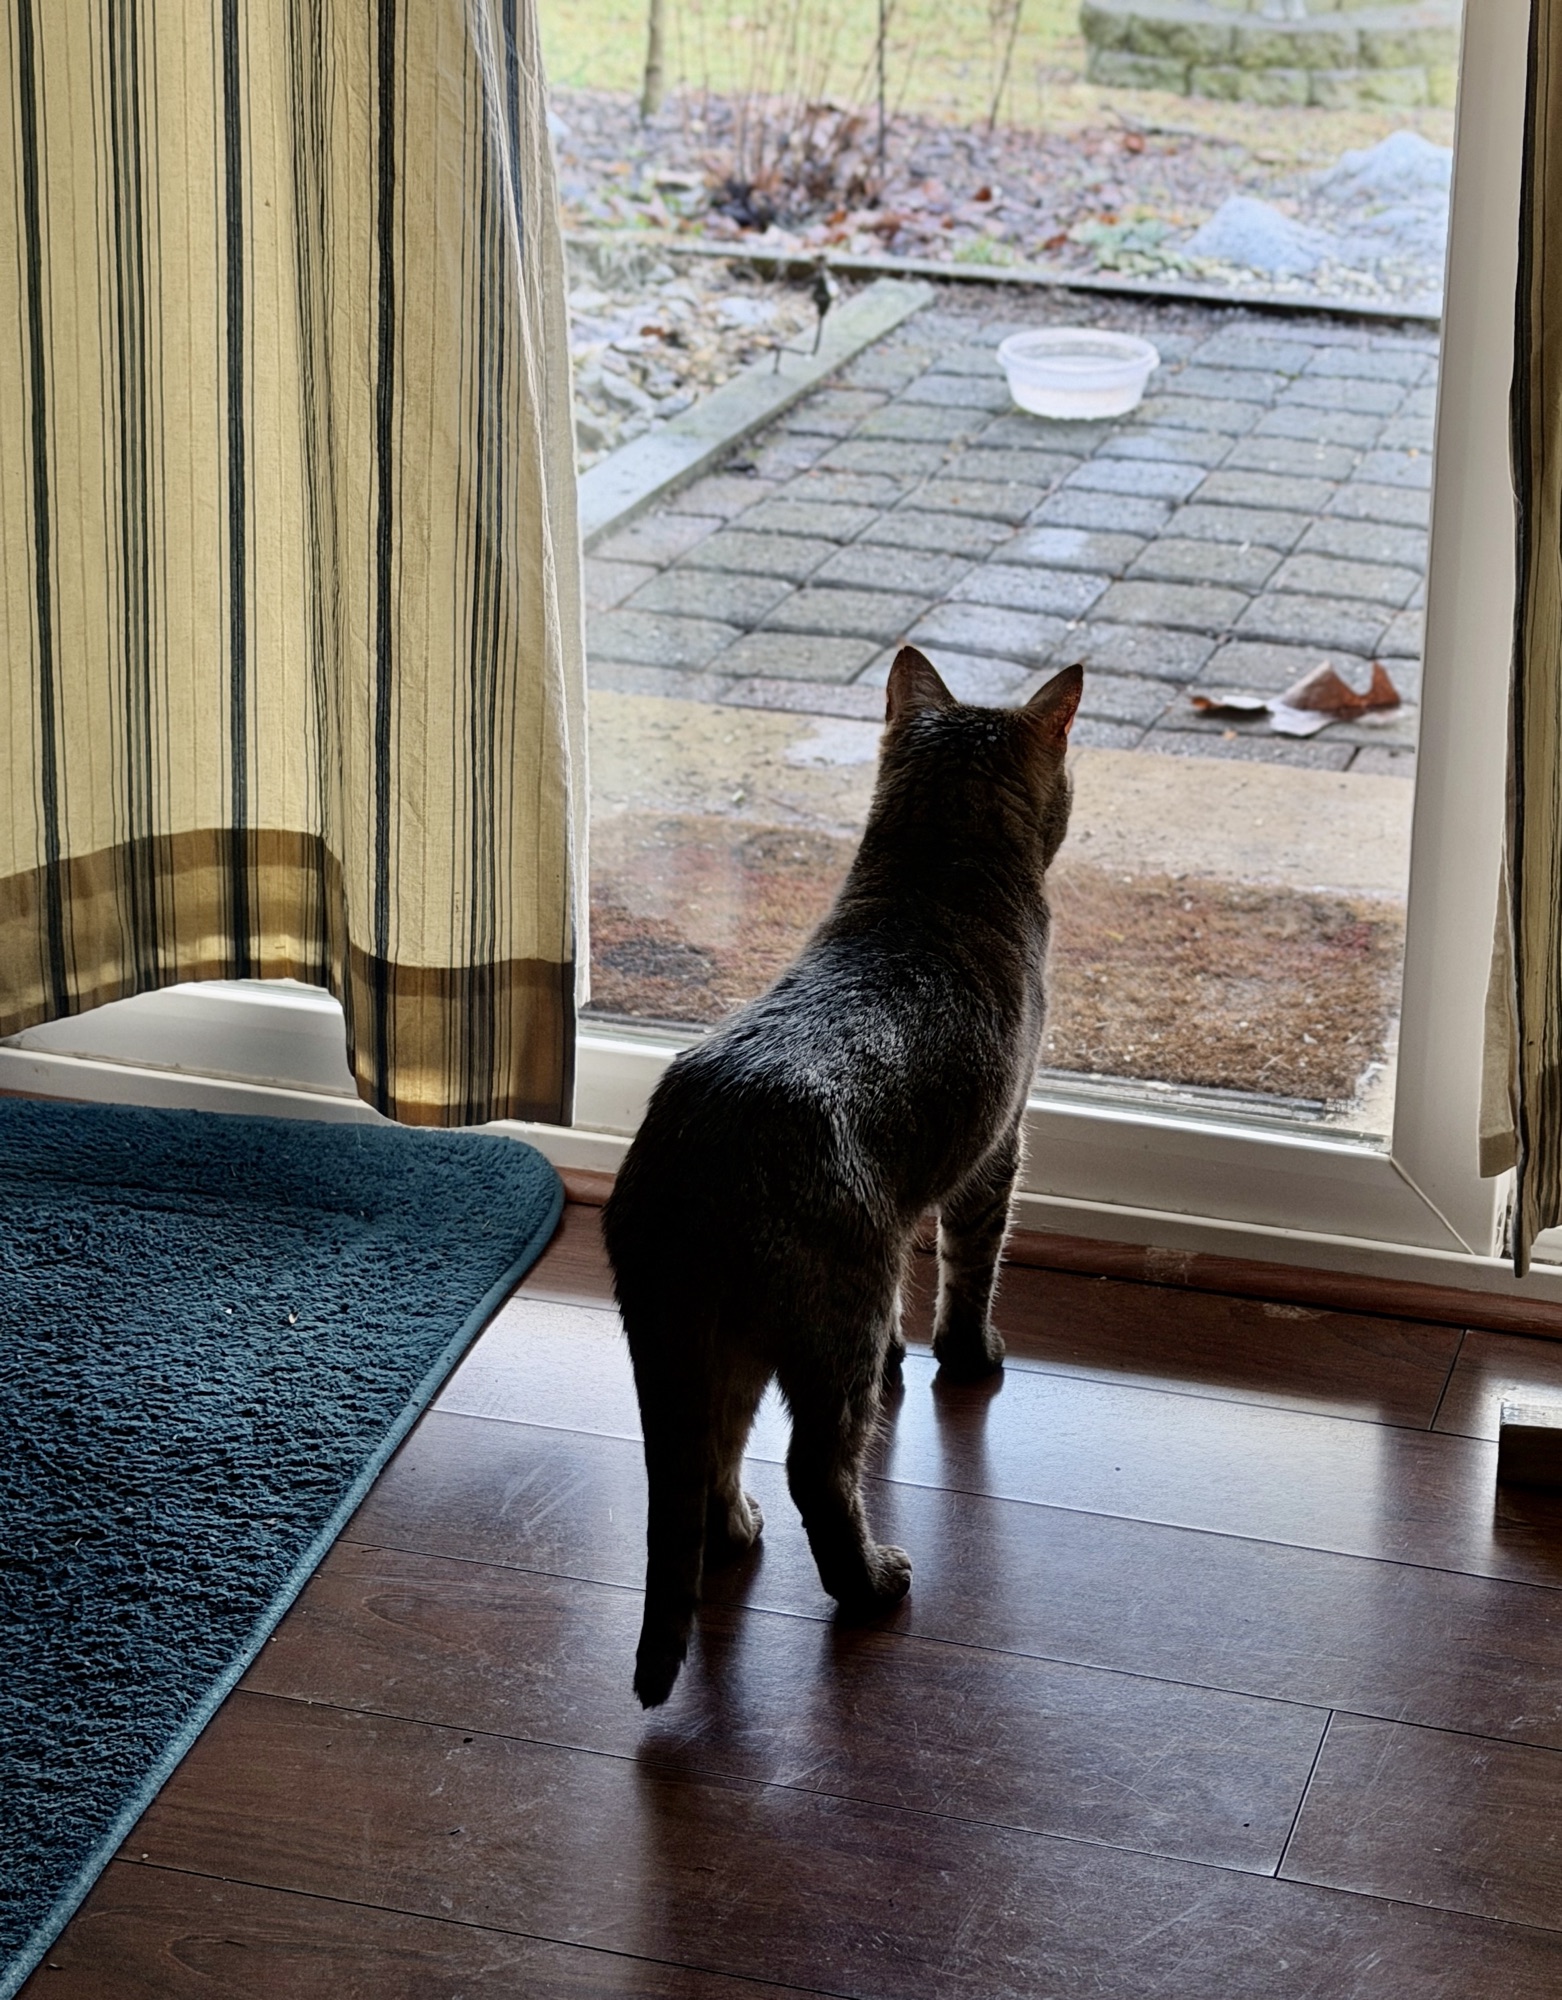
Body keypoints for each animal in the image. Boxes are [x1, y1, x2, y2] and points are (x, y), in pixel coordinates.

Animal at [601, 646, 1082, 1707]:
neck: (932, 874)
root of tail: (695, 1144)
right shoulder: (997, 1148)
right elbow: (969, 1269)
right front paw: (969, 1356)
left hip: (712, 1339)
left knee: (711, 1449)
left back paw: (732, 1535)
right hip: (828, 1318)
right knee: (817, 1470)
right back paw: (870, 1584)